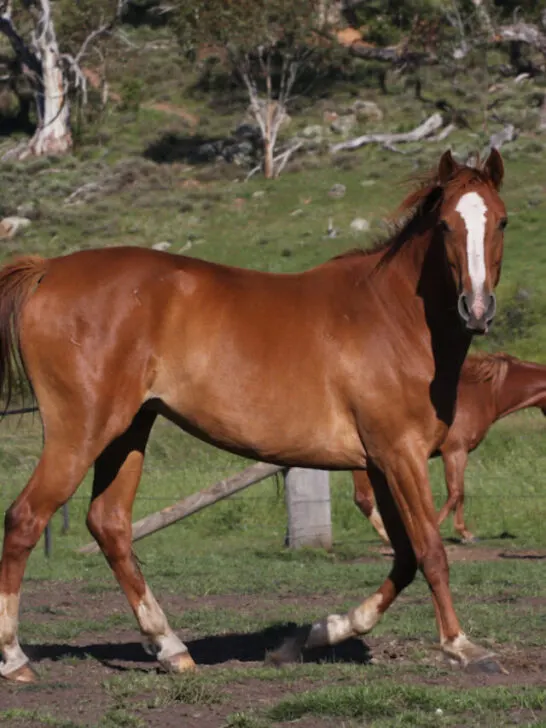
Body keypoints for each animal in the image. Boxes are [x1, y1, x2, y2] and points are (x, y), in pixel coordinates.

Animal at [0, 149, 507, 682]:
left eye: (502, 221)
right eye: (446, 224)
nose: (476, 309)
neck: (392, 318)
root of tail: (48, 269)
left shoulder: (378, 464)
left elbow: (406, 557)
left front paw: (318, 633)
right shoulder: (400, 455)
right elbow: (430, 549)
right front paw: (461, 646)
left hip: (128, 431)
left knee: (109, 524)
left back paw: (171, 647)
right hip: (80, 431)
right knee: (26, 518)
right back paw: (15, 659)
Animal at [353, 352, 546, 544]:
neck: (482, 394)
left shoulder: (460, 453)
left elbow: (459, 492)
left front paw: (465, 533)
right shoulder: (455, 452)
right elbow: (455, 493)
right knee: (364, 499)